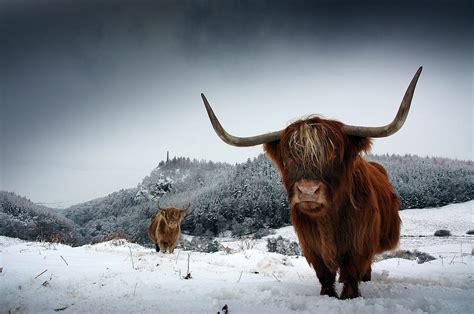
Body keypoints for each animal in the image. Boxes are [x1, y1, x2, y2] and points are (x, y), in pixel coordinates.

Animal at [200, 67, 422, 298]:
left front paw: (350, 296)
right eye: (288, 158)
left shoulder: (359, 242)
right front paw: (328, 294)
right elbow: (324, 274)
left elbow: (352, 272)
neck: (327, 221)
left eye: (335, 156)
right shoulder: (311, 245)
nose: (308, 191)